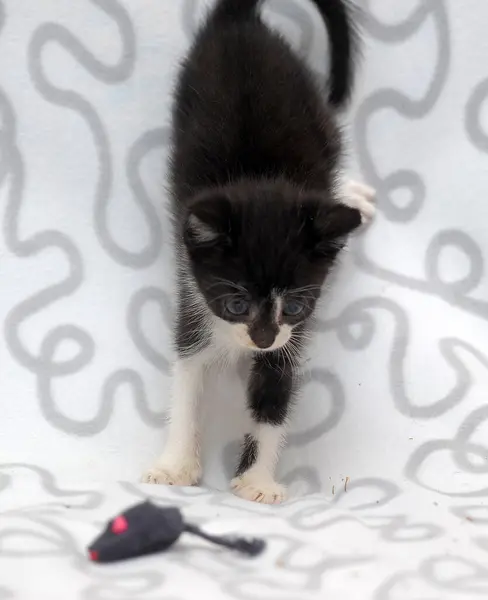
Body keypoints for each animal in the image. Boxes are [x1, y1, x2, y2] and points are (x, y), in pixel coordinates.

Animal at [143, 0, 376, 504]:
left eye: (295, 305)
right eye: (235, 304)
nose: (263, 338)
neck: (259, 180)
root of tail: (238, 19)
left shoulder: (295, 333)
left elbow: (274, 392)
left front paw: (257, 482)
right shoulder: (193, 297)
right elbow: (187, 379)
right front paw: (174, 466)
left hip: (315, 112)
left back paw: (350, 196)